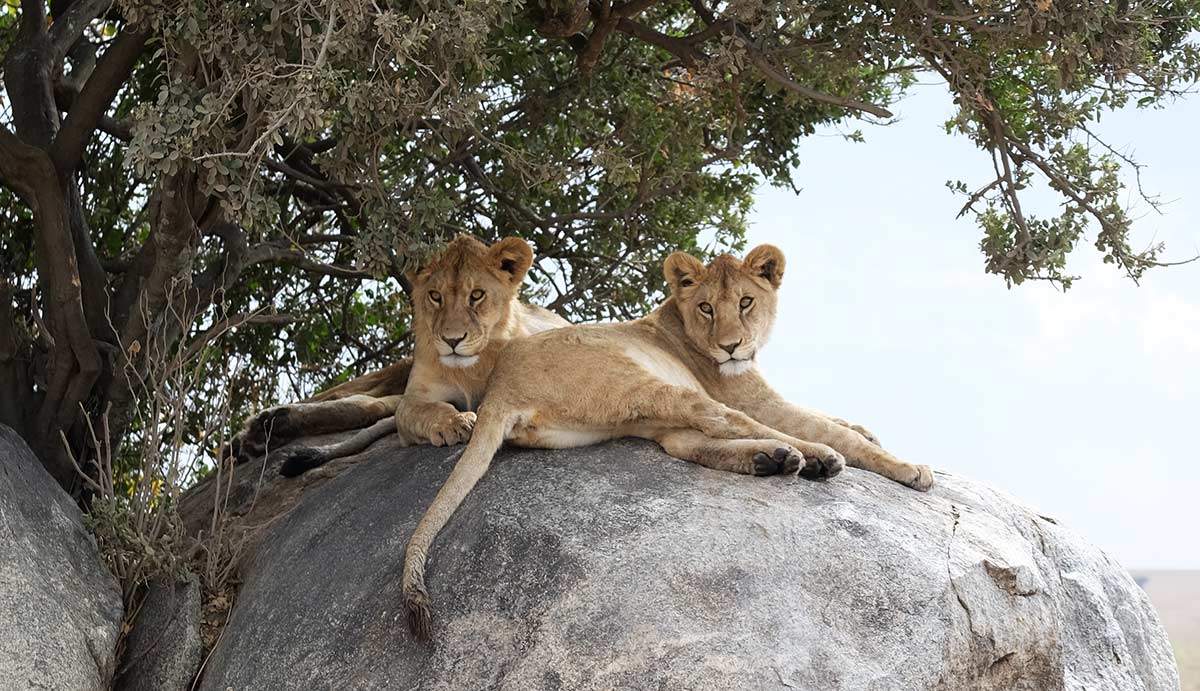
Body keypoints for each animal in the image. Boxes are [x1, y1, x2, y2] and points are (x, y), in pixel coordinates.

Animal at [224, 235, 569, 473]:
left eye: (477, 295)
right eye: (435, 296)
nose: (452, 339)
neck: (471, 369)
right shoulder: (417, 395)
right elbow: (423, 409)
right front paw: (453, 422)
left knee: (368, 406)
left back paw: (263, 432)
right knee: (348, 397)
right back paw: (253, 432)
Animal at [400, 243, 934, 641]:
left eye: (745, 302)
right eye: (707, 307)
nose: (730, 346)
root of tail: (499, 390)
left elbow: (828, 416)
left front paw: (864, 428)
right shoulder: (756, 397)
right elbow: (822, 426)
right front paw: (905, 467)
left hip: (624, 416)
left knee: (687, 442)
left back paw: (774, 459)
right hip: (645, 385)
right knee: (724, 422)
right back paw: (813, 458)